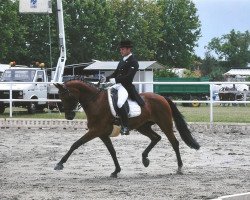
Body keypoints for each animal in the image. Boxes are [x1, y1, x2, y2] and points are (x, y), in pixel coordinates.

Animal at [53, 79, 200, 177]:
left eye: (66, 96)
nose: (69, 116)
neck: (95, 102)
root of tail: (162, 97)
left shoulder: (95, 131)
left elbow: (76, 144)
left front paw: (60, 163)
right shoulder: (102, 134)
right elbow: (112, 151)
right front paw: (116, 171)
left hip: (165, 124)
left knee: (174, 142)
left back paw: (179, 168)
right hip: (143, 127)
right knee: (156, 138)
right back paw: (145, 159)